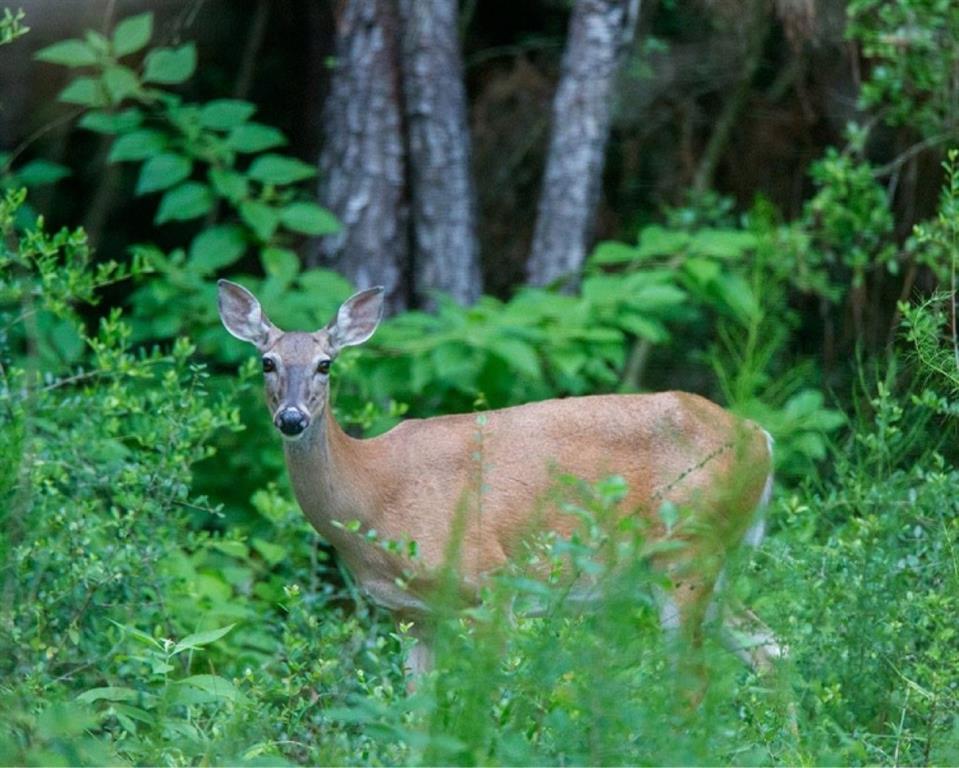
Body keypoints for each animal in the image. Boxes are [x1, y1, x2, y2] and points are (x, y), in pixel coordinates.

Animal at [216, 280, 780, 684]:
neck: (373, 493)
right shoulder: (411, 614)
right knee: (771, 645)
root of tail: (761, 437)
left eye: (325, 364)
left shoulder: (489, 584)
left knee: (695, 680)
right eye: (266, 361)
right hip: (708, 563)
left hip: (688, 553)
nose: (292, 418)